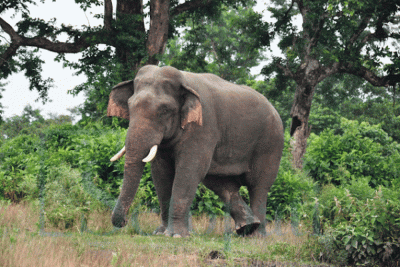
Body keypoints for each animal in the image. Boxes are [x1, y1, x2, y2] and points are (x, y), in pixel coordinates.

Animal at [108, 66, 284, 238]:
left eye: (164, 110)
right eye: (129, 106)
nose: (124, 222)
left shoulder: (203, 128)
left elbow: (188, 171)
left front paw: (176, 236)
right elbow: (161, 174)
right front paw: (160, 233)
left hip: (270, 142)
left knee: (258, 185)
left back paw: (257, 236)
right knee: (220, 183)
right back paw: (247, 227)